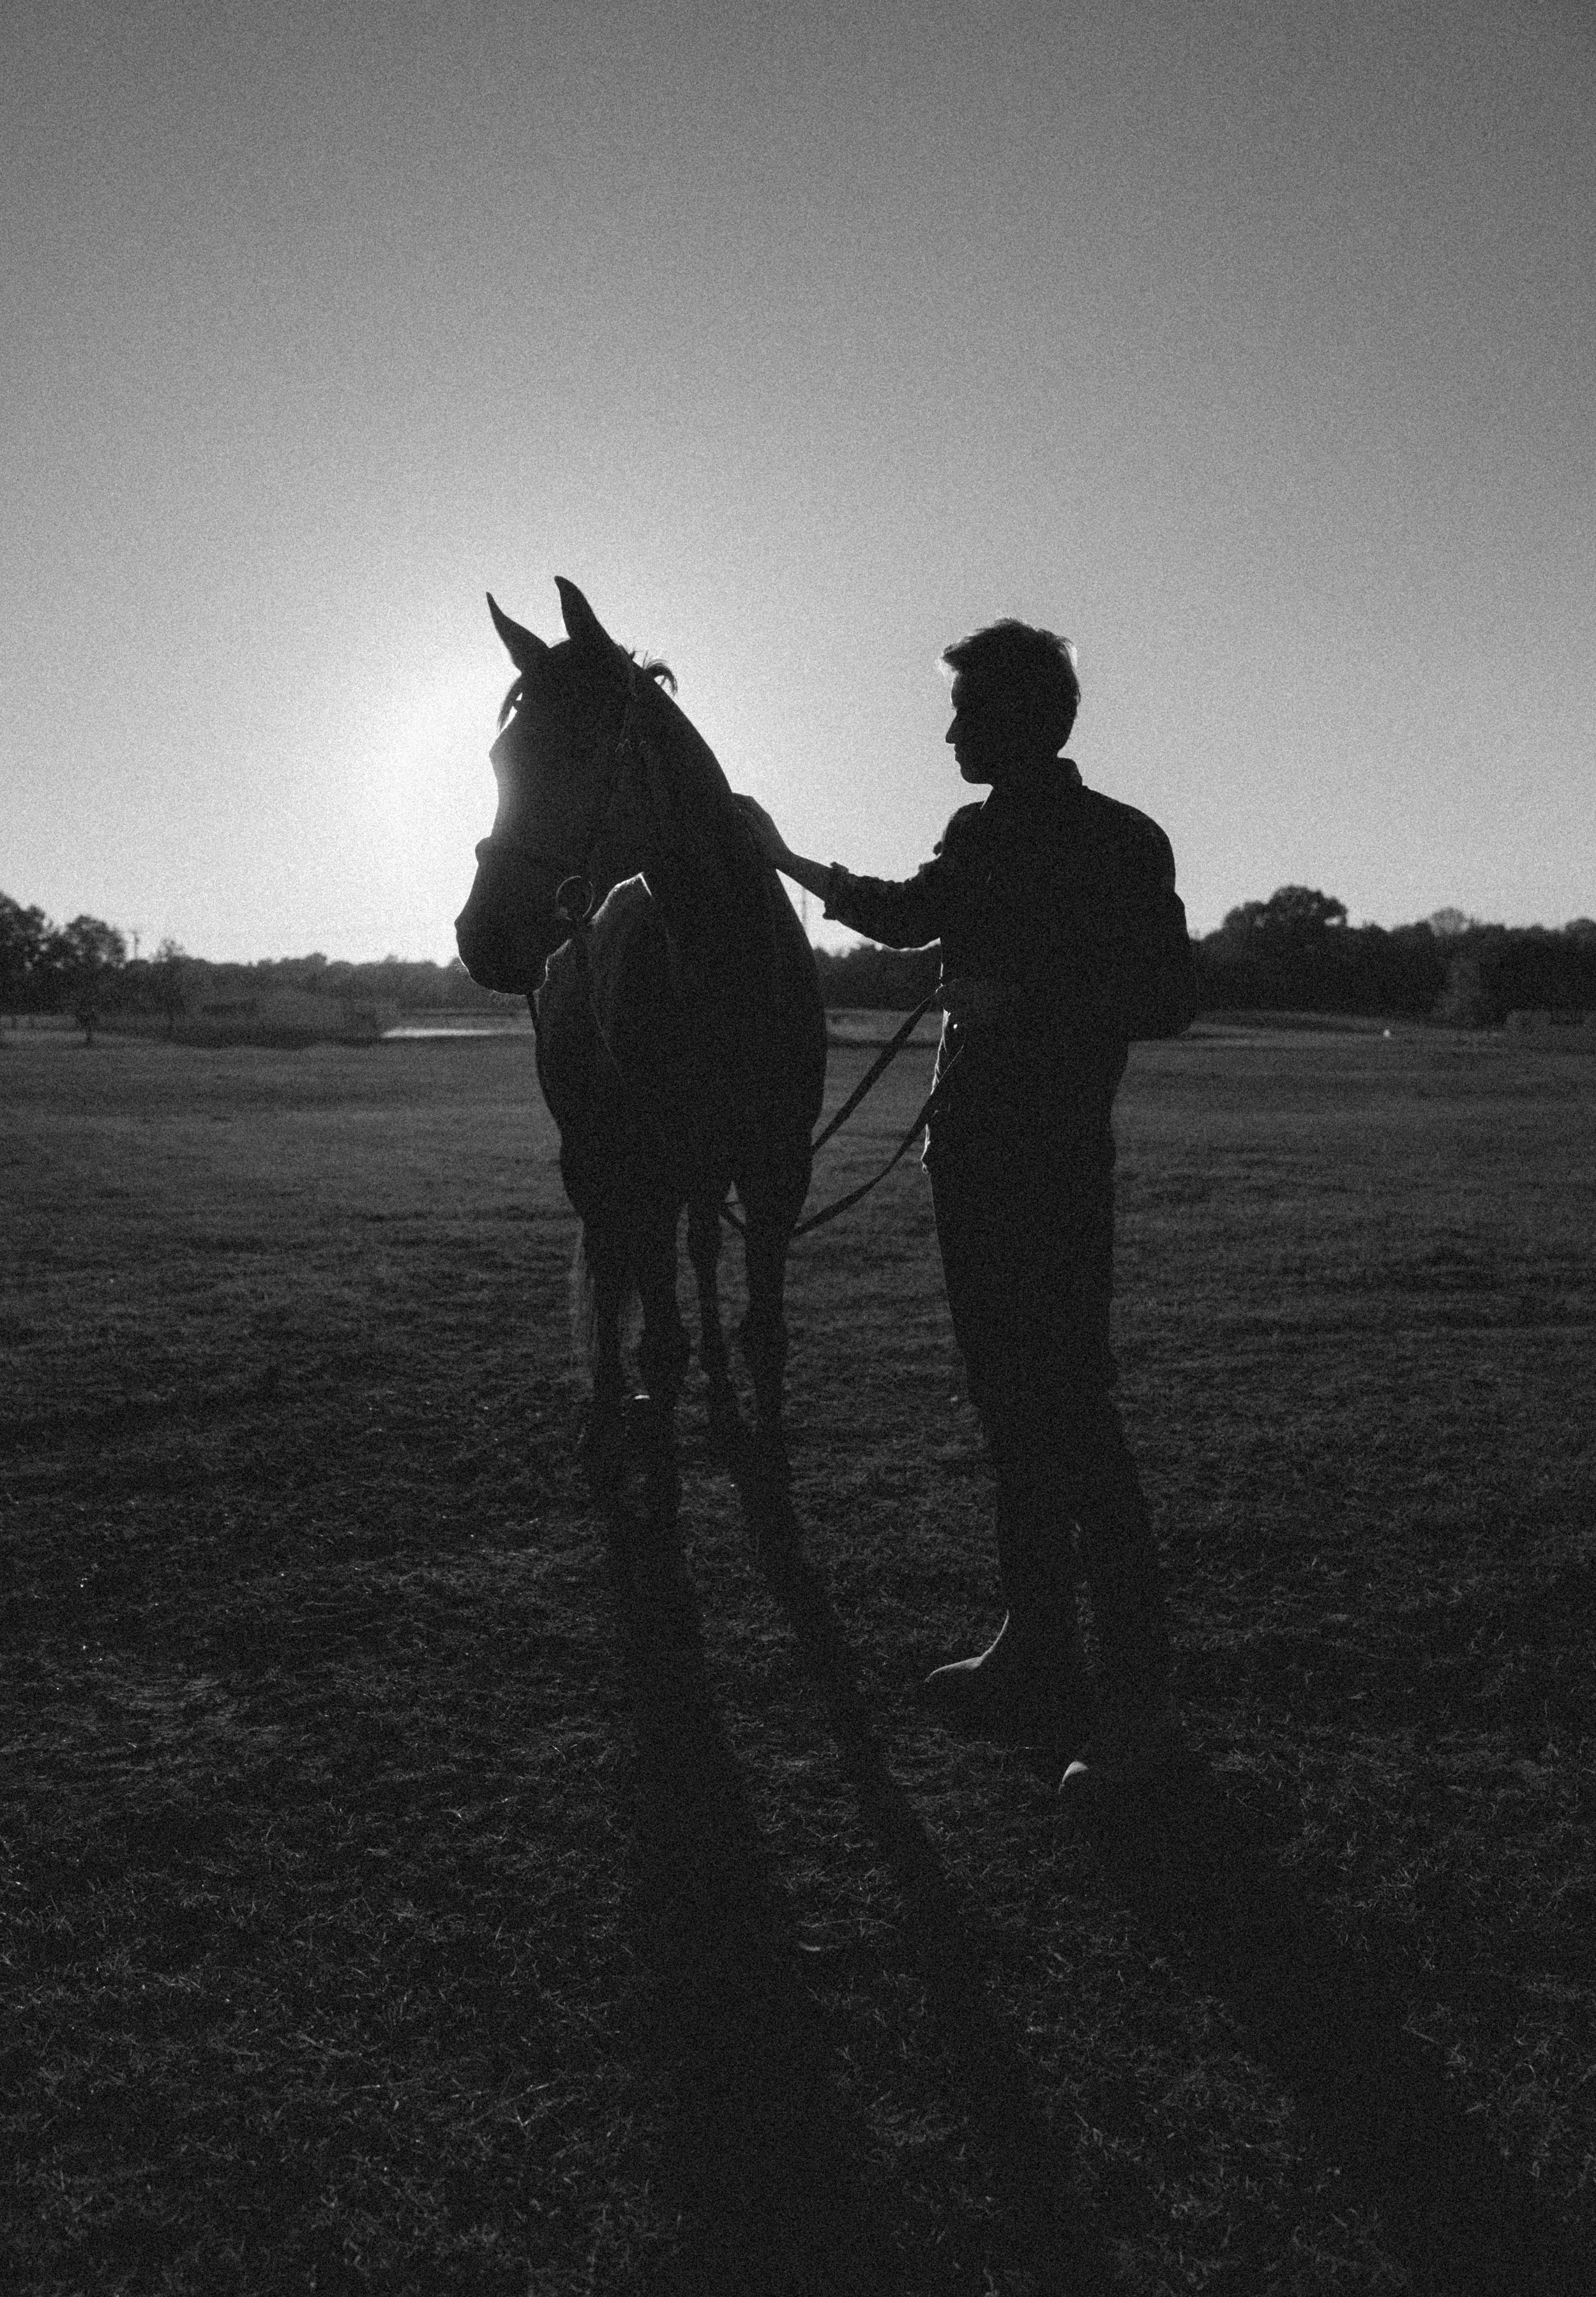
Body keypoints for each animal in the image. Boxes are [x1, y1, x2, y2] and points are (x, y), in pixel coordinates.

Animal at [454, 577, 827, 1516]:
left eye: (583, 752)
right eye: (502, 758)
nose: (484, 938)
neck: (726, 974)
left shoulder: (777, 1169)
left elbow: (765, 1329)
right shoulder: (648, 1167)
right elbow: (655, 1331)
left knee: (696, 1256)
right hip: (596, 1158)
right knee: (615, 1259)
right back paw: (605, 1413)